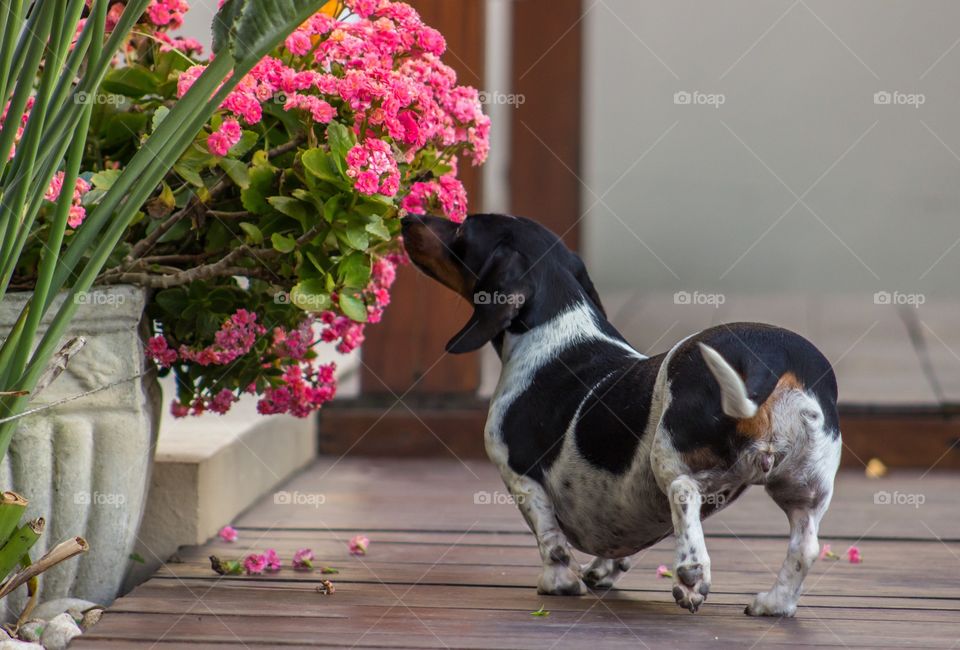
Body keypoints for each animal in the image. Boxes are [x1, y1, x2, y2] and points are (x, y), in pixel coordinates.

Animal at [398, 211, 840, 612]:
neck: (555, 331)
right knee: (805, 547)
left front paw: (558, 583)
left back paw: (691, 576)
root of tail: (772, 357)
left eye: (461, 228)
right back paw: (774, 603)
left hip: (669, 454)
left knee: (683, 493)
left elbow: (550, 541)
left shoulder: (520, 476)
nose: (407, 218)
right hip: (804, 489)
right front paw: (600, 571)